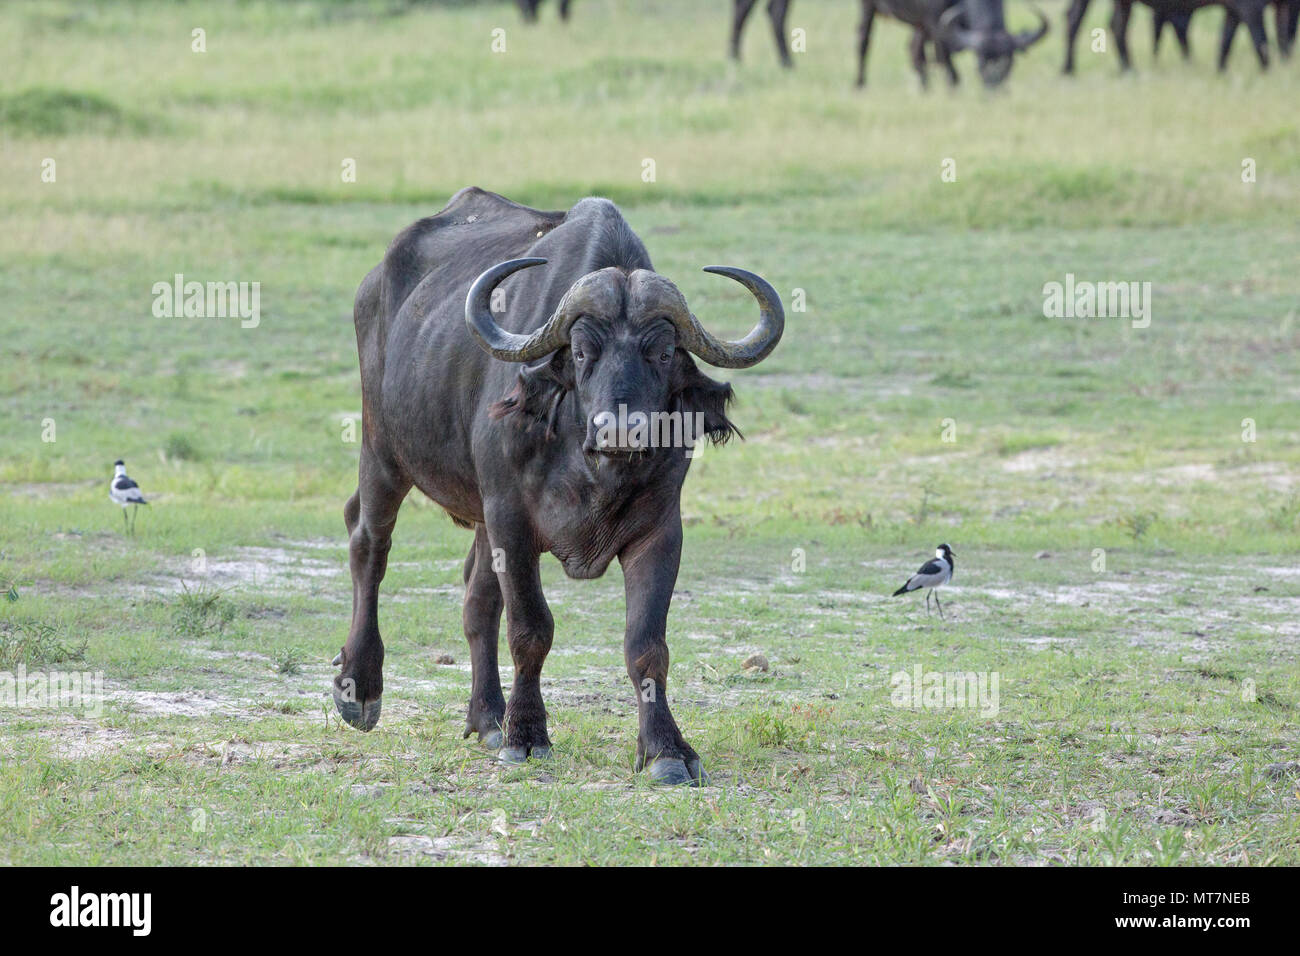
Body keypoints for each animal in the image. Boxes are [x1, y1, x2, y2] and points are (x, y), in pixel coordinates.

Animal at [332, 188, 780, 785]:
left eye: (662, 353)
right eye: (583, 351)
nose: (621, 430)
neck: (592, 470)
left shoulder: (660, 530)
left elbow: (647, 643)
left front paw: (665, 749)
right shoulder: (512, 521)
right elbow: (530, 629)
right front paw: (526, 736)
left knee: (476, 598)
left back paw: (487, 717)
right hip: (383, 451)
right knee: (368, 542)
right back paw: (360, 688)